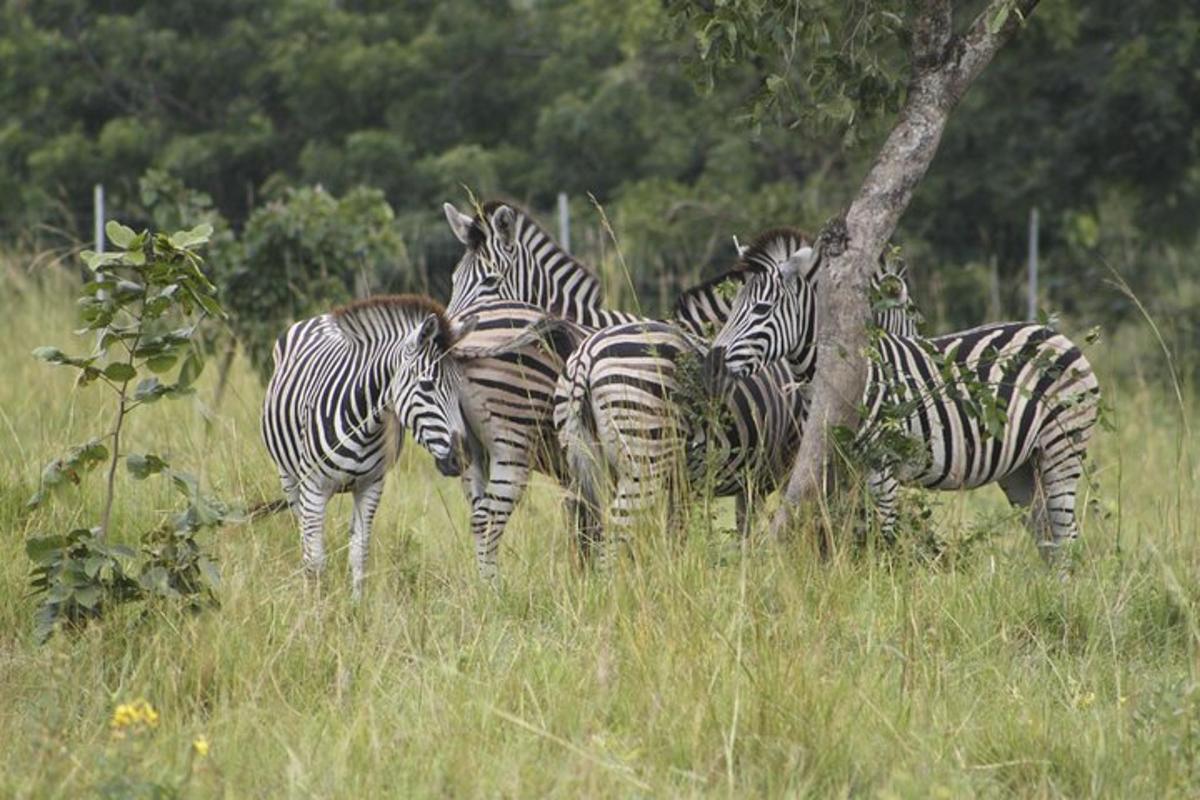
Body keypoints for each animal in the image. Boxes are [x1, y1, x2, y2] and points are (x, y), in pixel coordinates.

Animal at [261, 292, 472, 594]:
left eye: (460, 387)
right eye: (427, 386)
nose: (463, 458)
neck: (365, 423)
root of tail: (321, 317)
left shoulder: (371, 486)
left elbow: (359, 554)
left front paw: (356, 605)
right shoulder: (313, 486)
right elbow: (315, 561)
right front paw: (316, 604)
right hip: (289, 478)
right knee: (302, 534)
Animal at [552, 227, 916, 561]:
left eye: (759, 309)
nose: (711, 367)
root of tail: (586, 356)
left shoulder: (730, 479)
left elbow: (710, 534)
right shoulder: (790, 464)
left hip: (587, 460)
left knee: (586, 529)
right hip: (644, 457)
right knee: (616, 533)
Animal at [700, 241, 1104, 561]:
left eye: (761, 310)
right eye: (732, 308)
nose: (713, 363)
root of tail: (1056, 333)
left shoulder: (883, 464)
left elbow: (881, 537)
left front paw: (880, 591)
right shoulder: (834, 463)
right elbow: (836, 531)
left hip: (1061, 446)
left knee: (1065, 536)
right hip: (1020, 467)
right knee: (1047, 537)